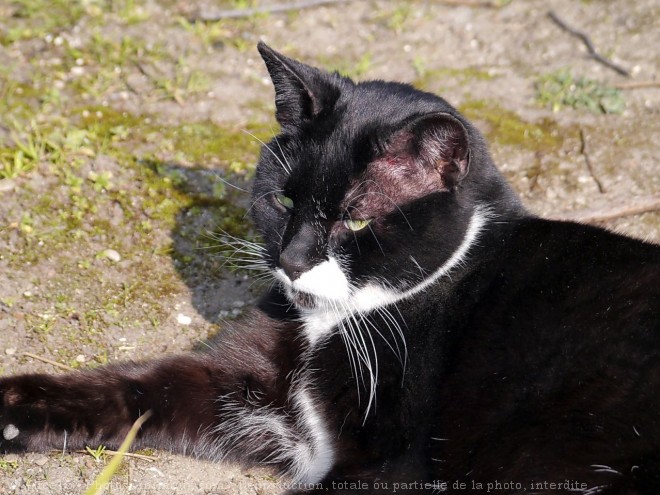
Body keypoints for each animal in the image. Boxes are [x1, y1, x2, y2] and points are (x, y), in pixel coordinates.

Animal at [1, 44, 660, 494]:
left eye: (357, 223)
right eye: (282, 200)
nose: (291, 261)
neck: (334, 322)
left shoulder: (390, 466)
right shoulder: (239, 382)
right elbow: (136, 384)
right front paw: (10, 407)